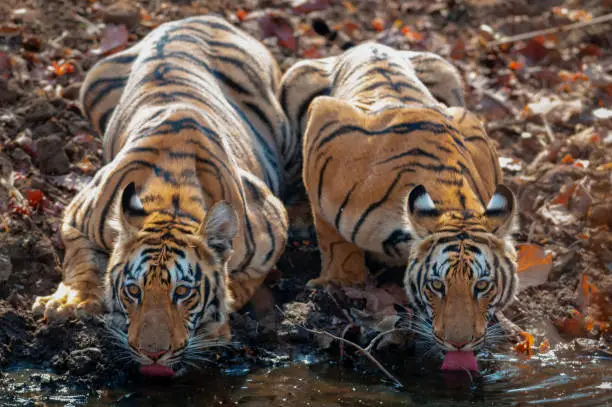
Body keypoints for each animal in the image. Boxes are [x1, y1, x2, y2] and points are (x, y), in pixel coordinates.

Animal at [31, 15, 292, 372]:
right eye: (132, 290)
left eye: (182, 292)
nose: (153, 353)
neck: (173, 198)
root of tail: (199, 17)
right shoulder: (77, 217)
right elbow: (81, 261)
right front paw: (69, 301)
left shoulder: (273, 226)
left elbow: (241, 283)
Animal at [280, 44, 520, 356]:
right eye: (437, 285)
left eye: (482, 286)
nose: (459, 344)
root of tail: (369, 45)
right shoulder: (325, 122)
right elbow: (332, 237)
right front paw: (339, 280)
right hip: (295, 80)